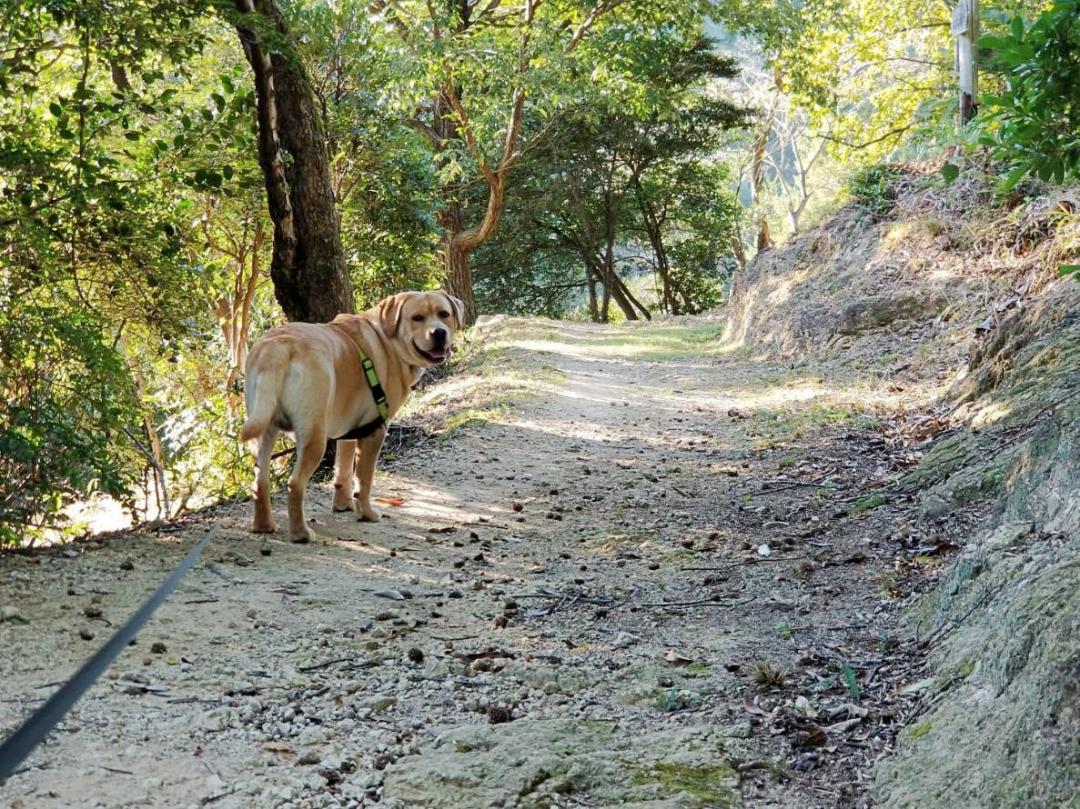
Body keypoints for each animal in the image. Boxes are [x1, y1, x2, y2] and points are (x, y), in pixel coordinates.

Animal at [238, 289, 462, 542]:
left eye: (444, 314)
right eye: (417, 318)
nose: (439, 332)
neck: (387, 338)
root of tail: (277, 347)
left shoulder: (349, 431)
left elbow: (343, 470)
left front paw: (343, 504)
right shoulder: (375, 431)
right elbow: (364, 479)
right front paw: (366, 513)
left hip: (263, 430)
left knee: (260, 482)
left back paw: (264, 526)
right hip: (313, 436)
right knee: (294, 483)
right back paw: (301, 533)